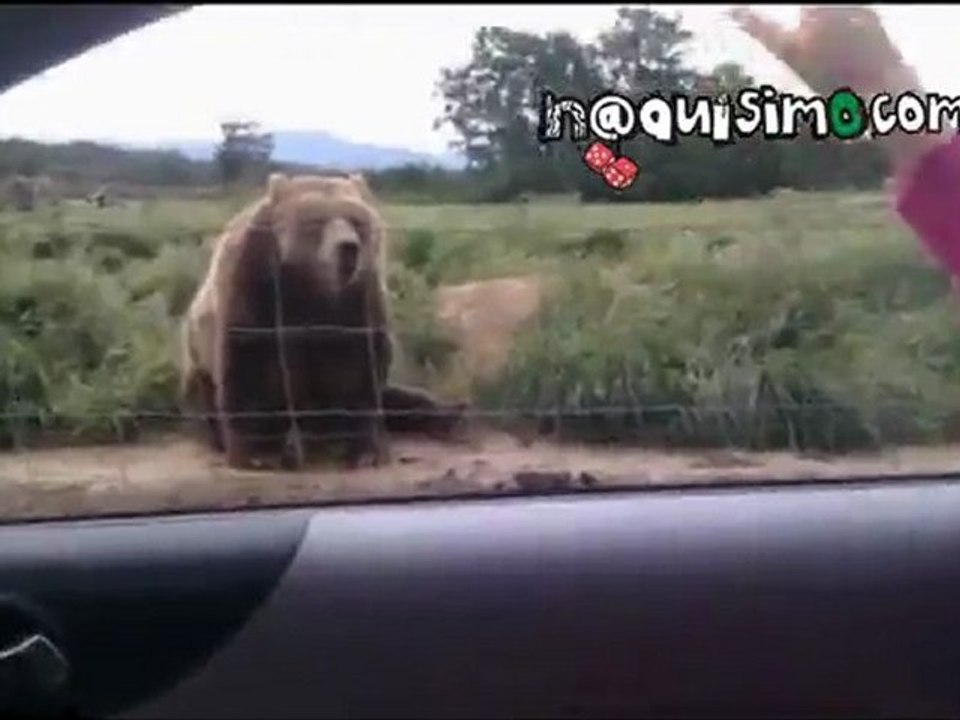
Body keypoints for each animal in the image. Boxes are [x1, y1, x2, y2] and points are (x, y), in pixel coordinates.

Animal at [180, 172, 466, 471]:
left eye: (356, 220)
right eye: (316, 220)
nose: (348, 248)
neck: (312, 288)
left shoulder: (356, 302)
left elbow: (359, 370)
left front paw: (364, 451)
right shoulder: (256, 290)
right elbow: (250, 365)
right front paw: (258, 453)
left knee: (399, 397)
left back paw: (452, 416)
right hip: (197, 364)